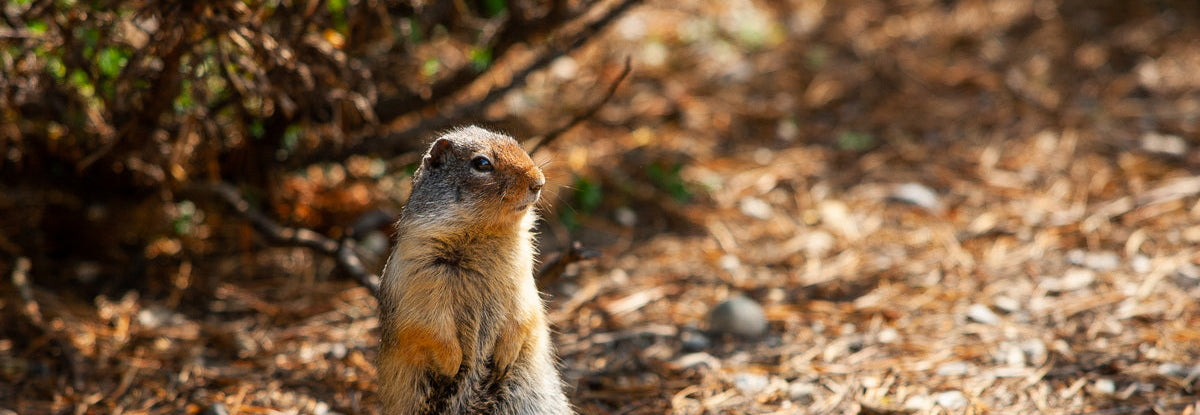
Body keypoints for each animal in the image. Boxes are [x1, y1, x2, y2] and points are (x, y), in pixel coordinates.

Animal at [376, 126, 571, 414]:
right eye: (481, 163)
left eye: (516, 143)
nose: (539, 182)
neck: (486, 233)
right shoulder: (418, 274)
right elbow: (430, 325)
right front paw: (453, 365)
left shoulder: (522, 275)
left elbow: (524, 310)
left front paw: (504, 357)